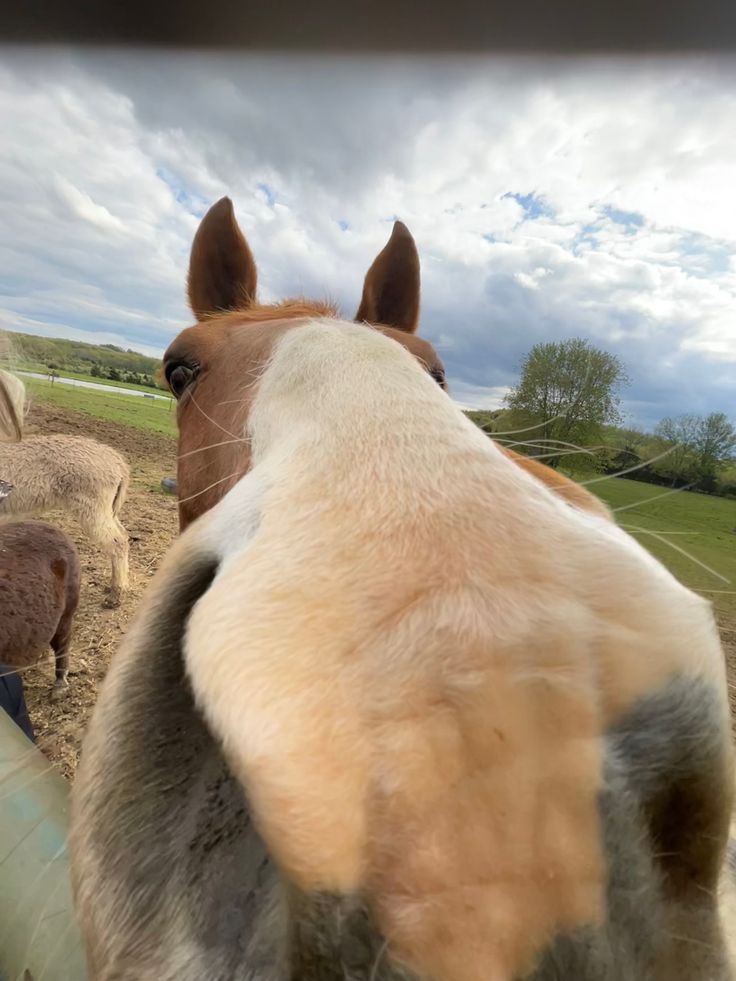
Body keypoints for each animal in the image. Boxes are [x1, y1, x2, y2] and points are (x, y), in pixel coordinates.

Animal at [0, 368, 131, 604]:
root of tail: (117, 461)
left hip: (92, 508)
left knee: (117, 543)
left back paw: (115, 595)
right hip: (107, 509)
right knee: (123, 535)